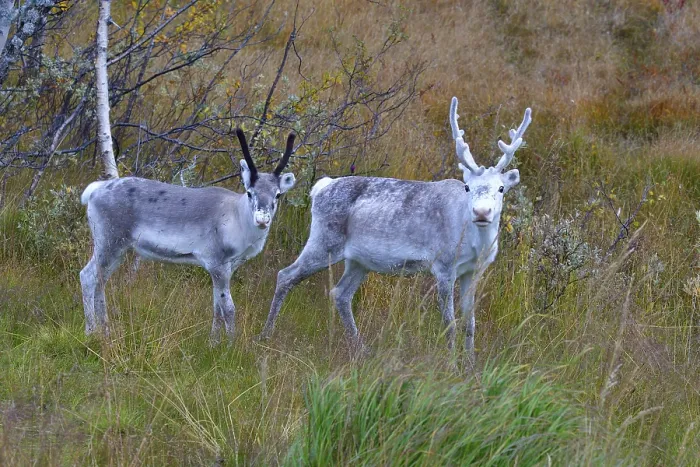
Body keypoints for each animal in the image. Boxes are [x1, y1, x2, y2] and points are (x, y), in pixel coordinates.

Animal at [79, 129, 297, 344]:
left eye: (277, 194)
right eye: (249, 192)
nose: (262, 219)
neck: (236, 216)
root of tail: (95, 190)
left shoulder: (228, 267)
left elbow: (217, 307)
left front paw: (213, 343)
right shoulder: (217, 264)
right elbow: (228, 309)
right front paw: (230, 346)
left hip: (119, 250)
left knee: (100, 281)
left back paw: (106, 330)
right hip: (108, 243)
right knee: (87, 276)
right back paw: (91, 331)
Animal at [260, 97, 531, 361]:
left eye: (501, 188)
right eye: (467, 187)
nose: (481, 212)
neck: (475, 245)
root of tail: (319, 188)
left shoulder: (473, 271)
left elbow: (470, 324)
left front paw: (471, 367)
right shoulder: (443, 265)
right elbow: (450, 324)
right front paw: (451, 365)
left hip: (358, 260)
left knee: (340, 293)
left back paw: (361, 349)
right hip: (324, 240)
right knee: (286, 275)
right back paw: (266, 335)